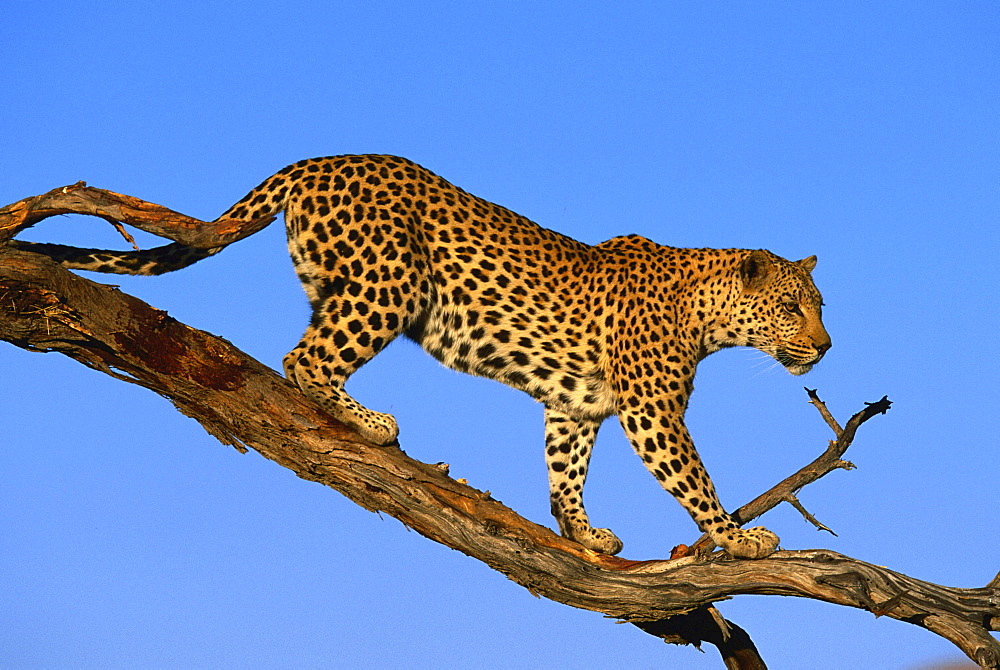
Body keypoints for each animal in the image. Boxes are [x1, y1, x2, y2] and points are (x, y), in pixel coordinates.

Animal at [15, 155, 832, 560]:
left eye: (820, 305)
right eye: (796, 306)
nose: (826, 347)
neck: (708, 315)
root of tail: (313, 160)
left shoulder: (576, 405)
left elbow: (564, 472)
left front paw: (580, 533)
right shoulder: (653, 410)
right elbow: (695, 480)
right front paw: (738, 537)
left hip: (341, 284)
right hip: (391, 283)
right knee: (304, 358)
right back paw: (369, 422)